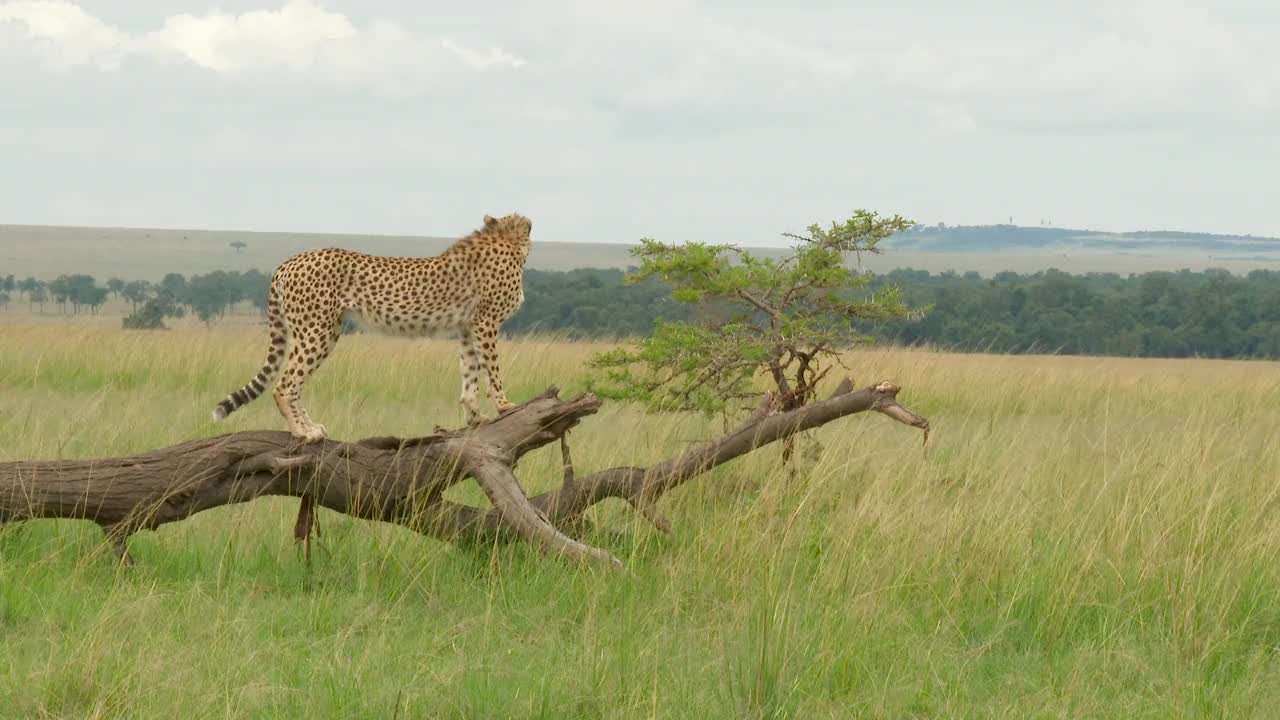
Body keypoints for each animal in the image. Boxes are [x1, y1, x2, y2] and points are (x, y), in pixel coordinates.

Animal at [212, 210, 532, 440]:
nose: (530, 222)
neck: (507, 242)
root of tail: (290, 261)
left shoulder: (467, 328)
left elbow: (470, 376)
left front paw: (476, 417)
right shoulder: (486, 323)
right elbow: (493, 370)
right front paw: (505, 405)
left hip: (323, 332)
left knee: (291, 382)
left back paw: (310, 427)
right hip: (316, 331)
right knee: (285, 384)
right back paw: (304, 432)